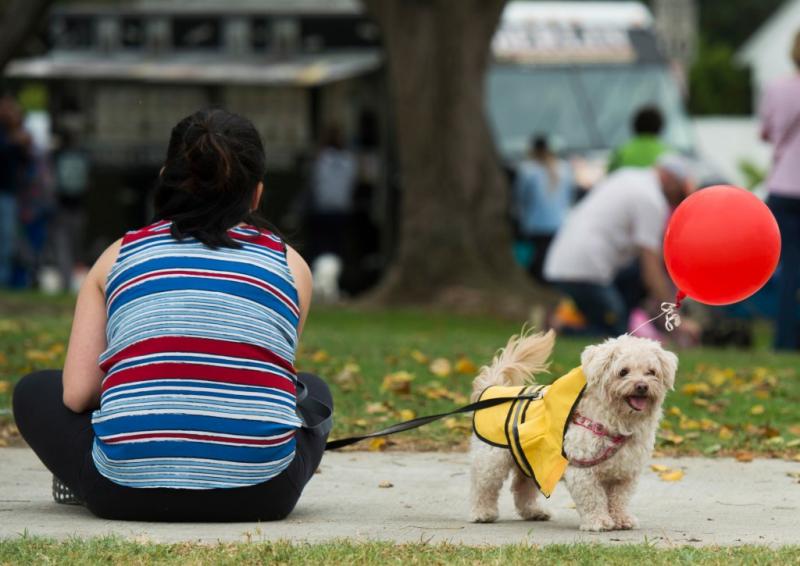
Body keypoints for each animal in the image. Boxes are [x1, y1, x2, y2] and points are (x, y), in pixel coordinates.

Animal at [472, 332, 680, 532]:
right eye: (623, 372)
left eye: (651, 372)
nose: (642, 386)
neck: (615, 420)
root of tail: (493, 388)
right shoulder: (583, 470)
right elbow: (593, 499)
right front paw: (598, 521)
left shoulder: (625, 473)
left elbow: (619, 499)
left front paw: (621, 519)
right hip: (492, 460)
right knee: (484, 486)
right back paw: (483, 513)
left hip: (534, 462)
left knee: (522, 488)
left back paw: (534, 512)